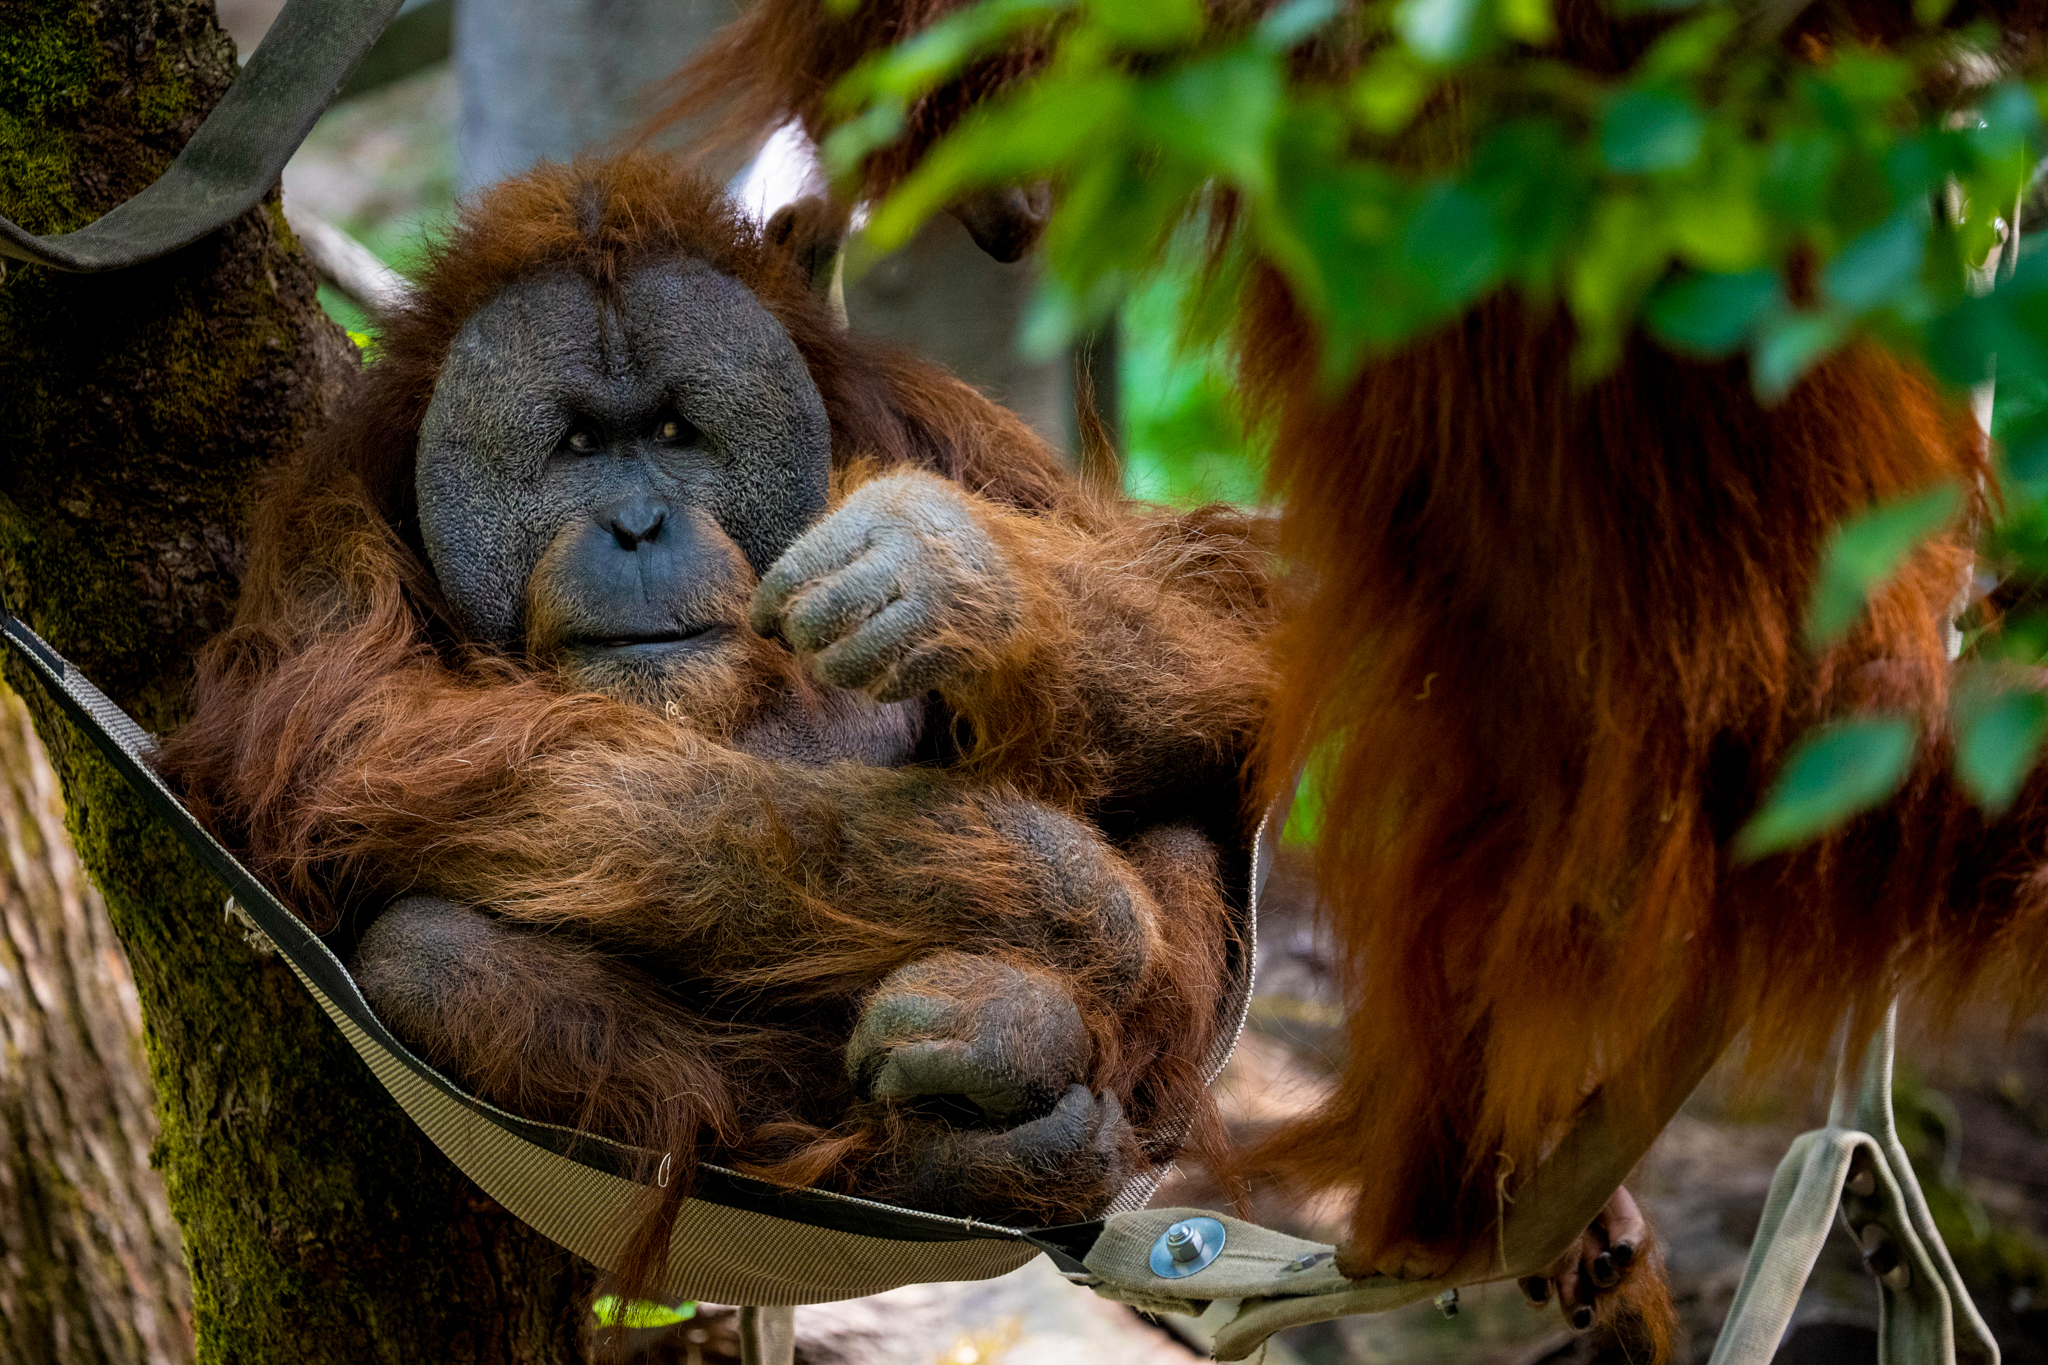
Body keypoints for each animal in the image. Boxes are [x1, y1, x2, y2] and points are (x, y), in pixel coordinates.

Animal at [157, 156, 1278, 1277]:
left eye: (669, 432)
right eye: (577, 444)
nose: (637, 523)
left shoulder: (948, 427)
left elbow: (1225, 611)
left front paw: (950, 573)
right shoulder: (325, 523)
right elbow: (358, 742)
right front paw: (1069, 898)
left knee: (1187, 823)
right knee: (426, 960)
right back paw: (975, 1119)